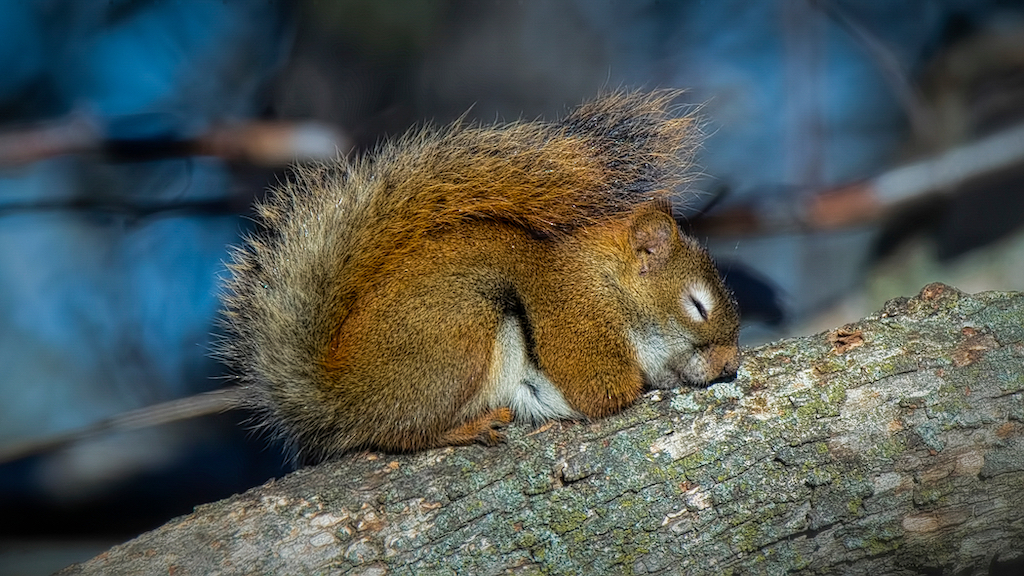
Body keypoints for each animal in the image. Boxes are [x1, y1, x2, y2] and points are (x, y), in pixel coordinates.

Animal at [0, 91, 740, 465]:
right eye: (698, 305)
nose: (731, 364)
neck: (605, 283)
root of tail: (339, 395)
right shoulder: (573, 319)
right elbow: (604, 387)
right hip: (456, 338)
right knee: (396, 436)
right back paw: (463, 429)